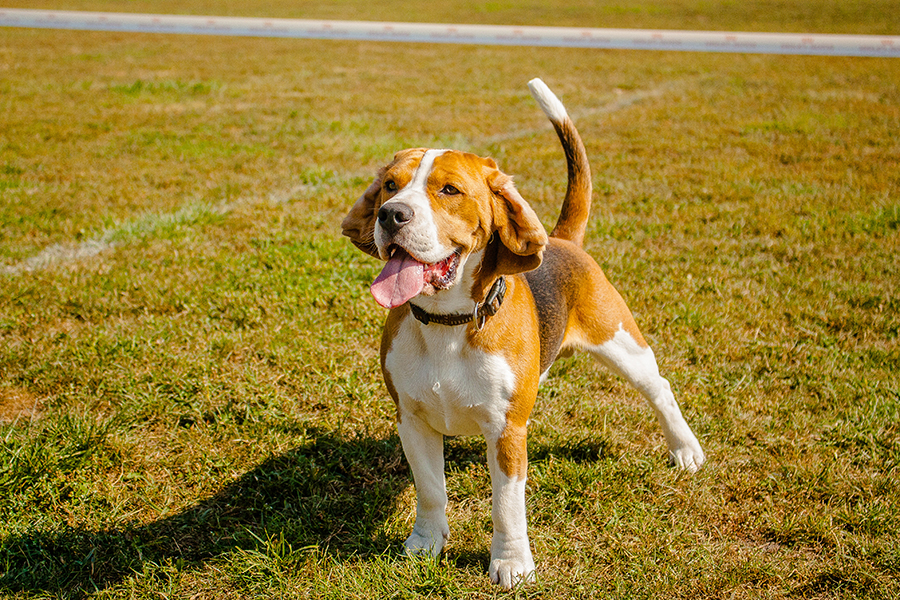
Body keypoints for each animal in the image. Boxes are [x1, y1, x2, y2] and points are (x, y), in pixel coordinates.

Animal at [342, 77, 708, 588]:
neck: (448, 323)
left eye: (449, 190)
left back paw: (685, 449)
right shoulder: (411, 419)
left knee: (660, 389)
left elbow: (507, 506)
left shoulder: (507, 432)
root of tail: (563, 240)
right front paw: (426, 543)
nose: (391, 214)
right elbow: (431, 489)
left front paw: (511, 563)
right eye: (390, 186)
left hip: (622, 344)